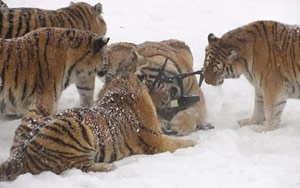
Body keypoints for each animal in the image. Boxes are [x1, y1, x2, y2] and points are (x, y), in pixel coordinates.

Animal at [0, 73, 195, 181]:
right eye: (158, 84)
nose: (168, 95)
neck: (121, 87)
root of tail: (20, 152)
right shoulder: (156, 139)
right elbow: (177, 143)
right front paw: (194, 143)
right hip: (76, 131)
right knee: (78, 166)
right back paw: (108, 167)